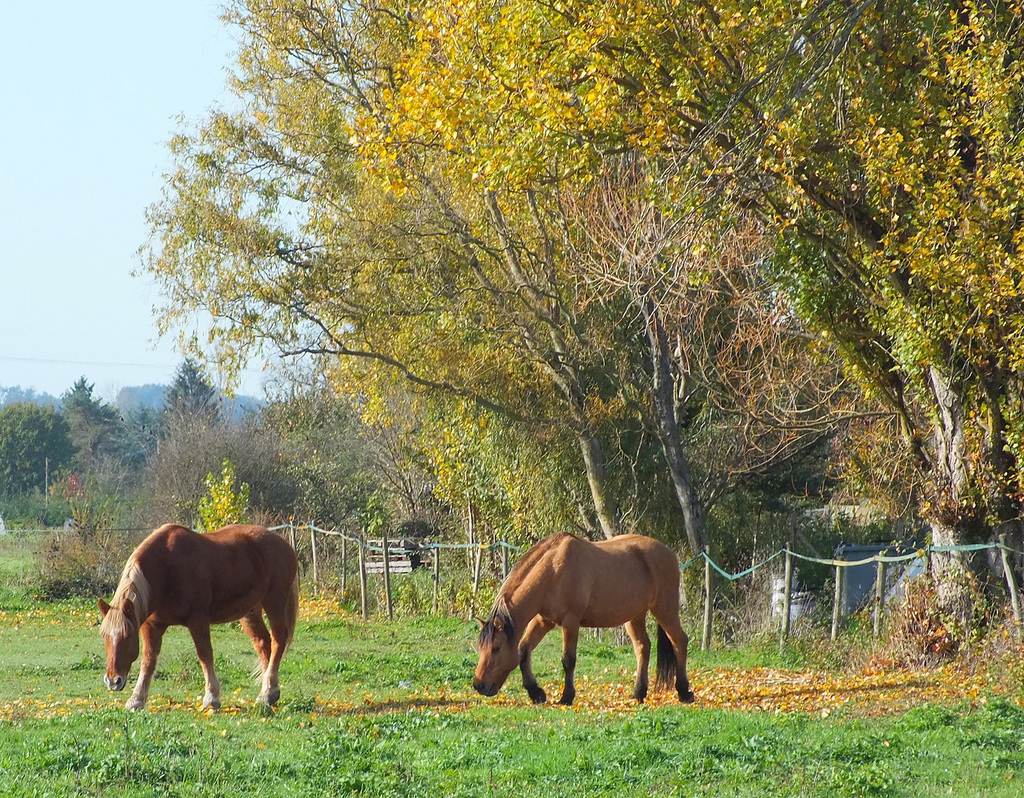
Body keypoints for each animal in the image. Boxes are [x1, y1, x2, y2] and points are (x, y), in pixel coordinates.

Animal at [97, 524, 299, 712]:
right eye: (104, 636)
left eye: (128, 635)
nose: (113, 681)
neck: (168, 567)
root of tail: (284, 544)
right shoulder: (152, 626)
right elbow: (148, 661)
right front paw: (136, 700)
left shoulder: (198, 620)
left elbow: (204, 655)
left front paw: (212, 698)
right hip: (250, 613)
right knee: (264, 644)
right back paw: (268, 693)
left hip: (274, 602)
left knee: (278, 641)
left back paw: (267, 693)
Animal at [473, 532, 696, 708]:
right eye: (480, 647)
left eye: (496, 648)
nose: (479, 685)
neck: (553, 569)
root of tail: (669, 553)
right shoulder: (543, 621)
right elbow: (523, 650)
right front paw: (535, 692)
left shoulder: (570, 622)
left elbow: (568, 660)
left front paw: (566, 697)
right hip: (635, 616)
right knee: (643, 647)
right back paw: (638, 694)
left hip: (664, 609)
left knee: (679, 641)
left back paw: (684, 692)